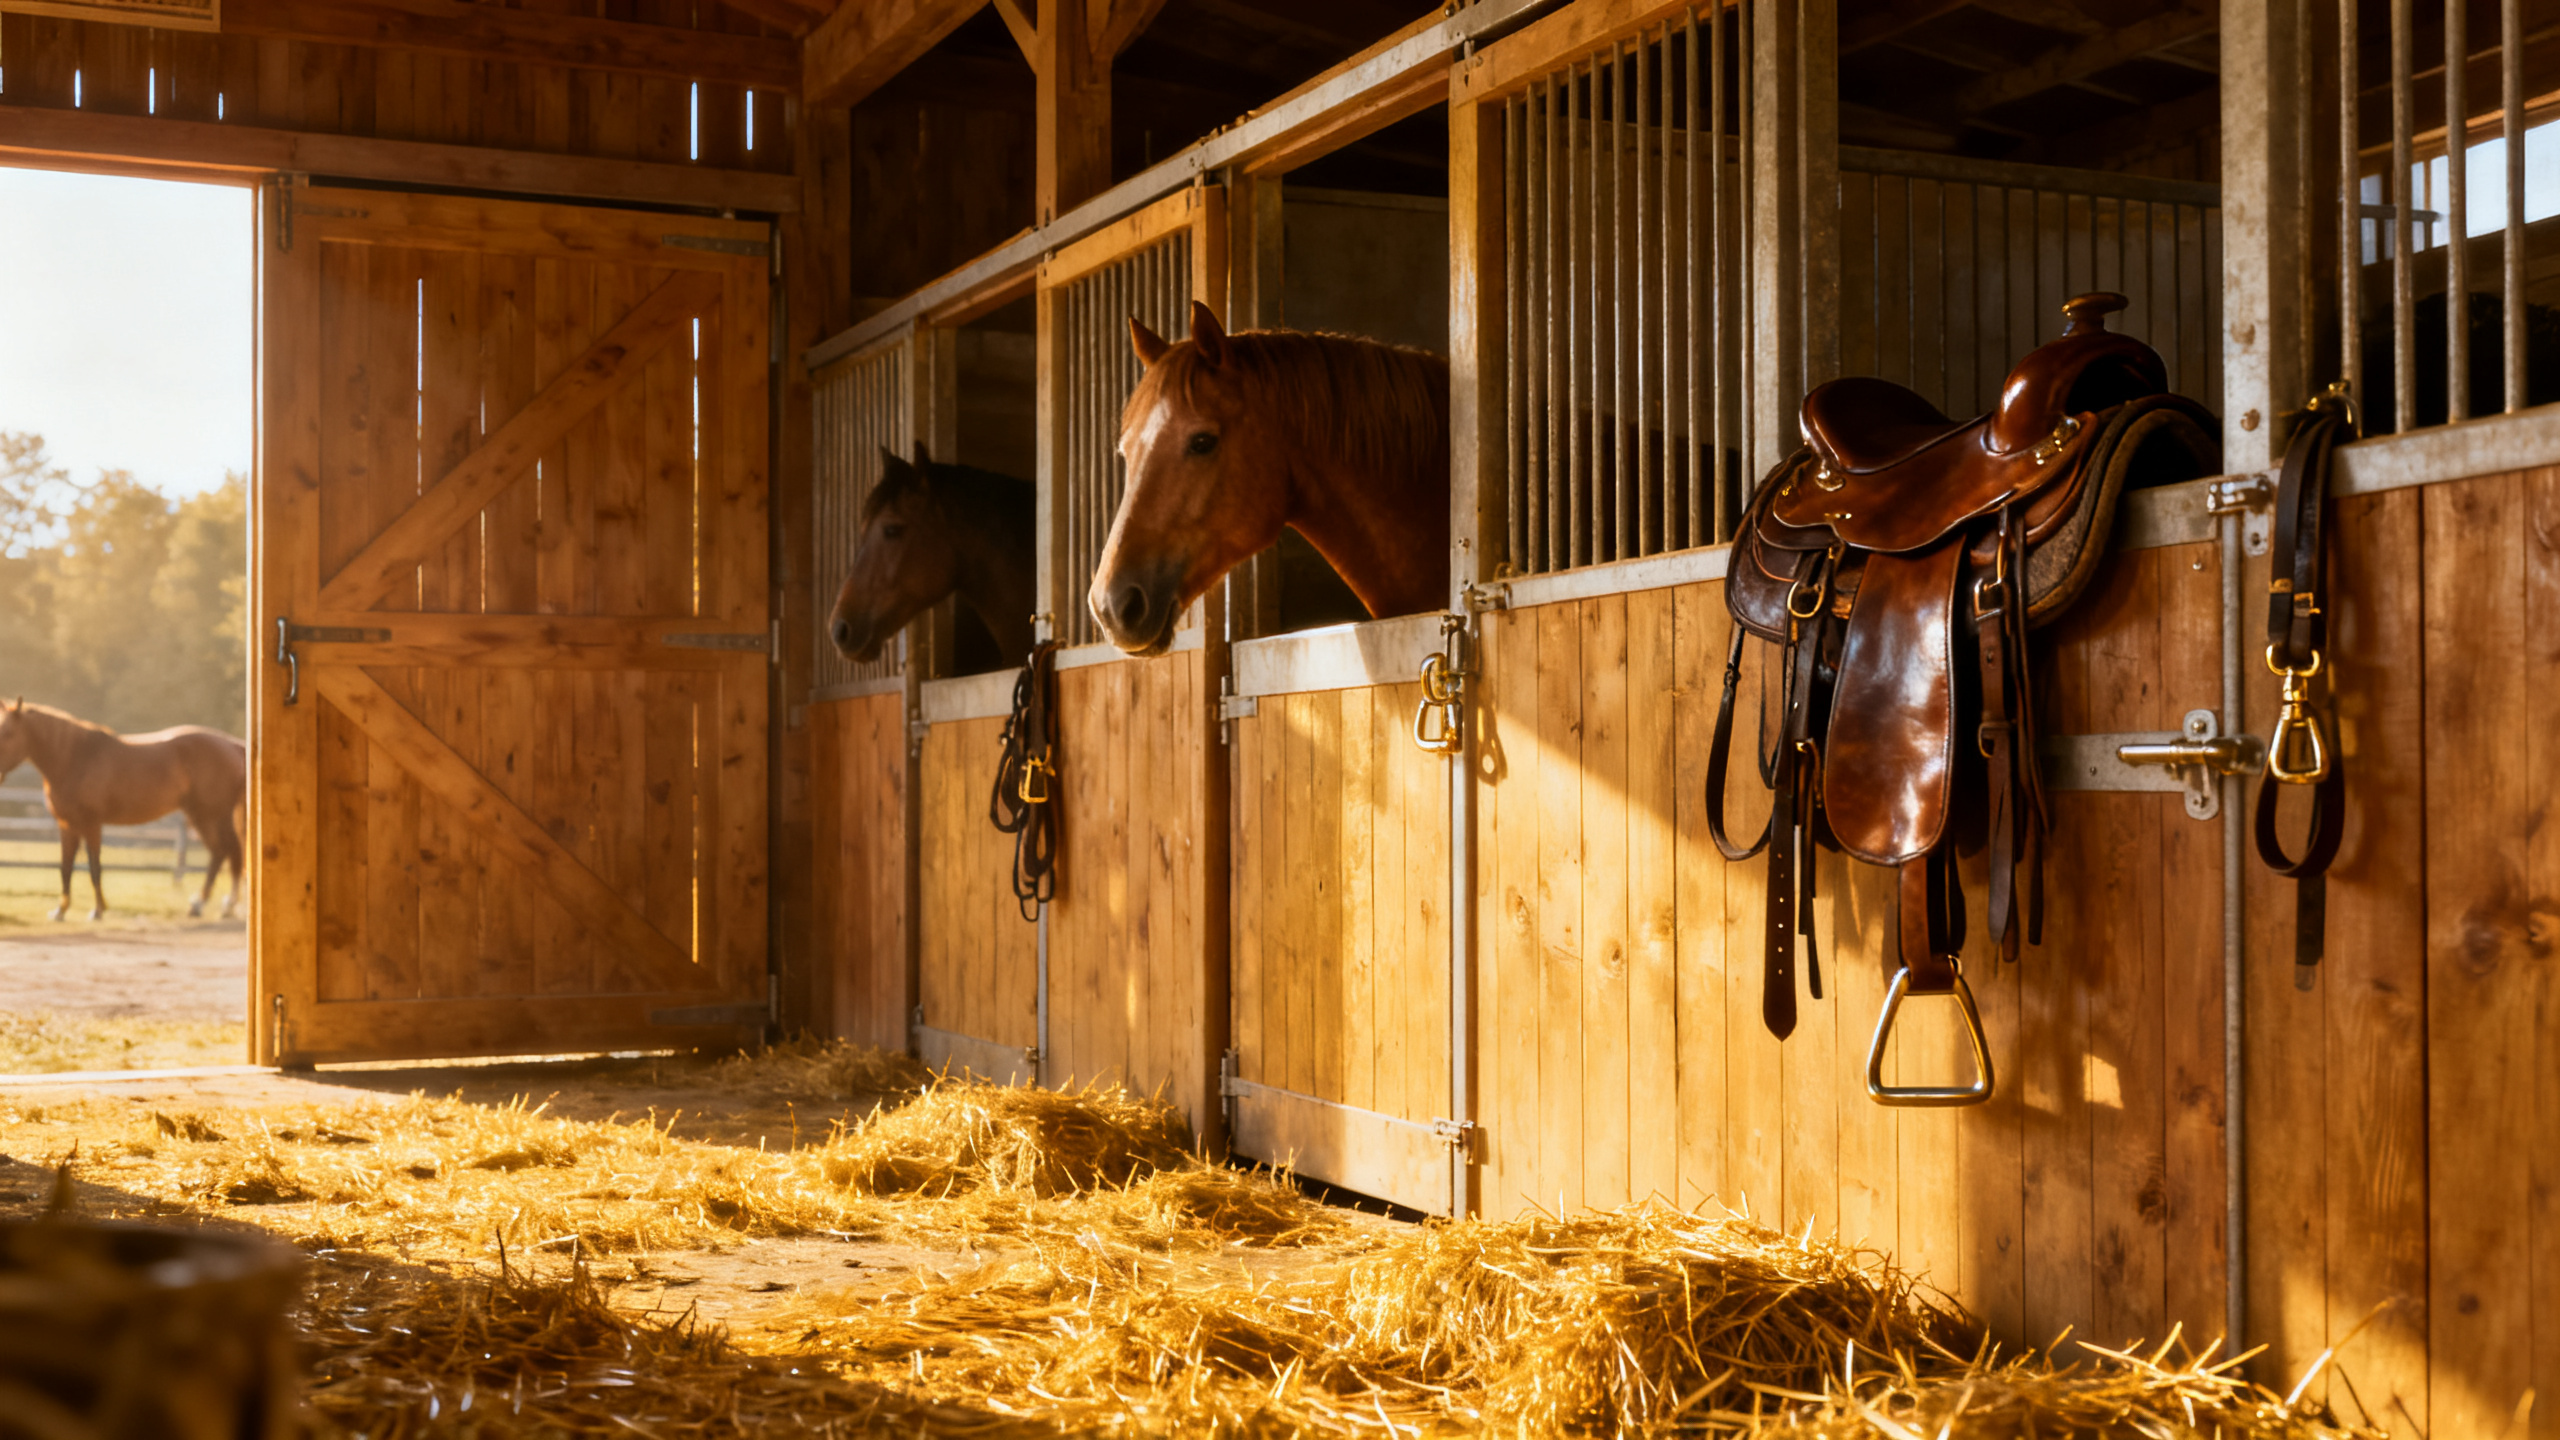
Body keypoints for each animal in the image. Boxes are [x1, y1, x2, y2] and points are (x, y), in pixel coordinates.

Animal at [0, 700, 246, 922]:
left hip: (211, 815)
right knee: (224, 852)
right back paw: (216, 906)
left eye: (9, 732)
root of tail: (233, 744)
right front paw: (60, 911)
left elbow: (94, 867)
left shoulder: (92, 824)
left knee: (228, 851)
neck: (75, 758)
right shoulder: (67, 825)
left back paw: (207, 904)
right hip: (201, 816)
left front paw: (97, 911)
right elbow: (65, 868)